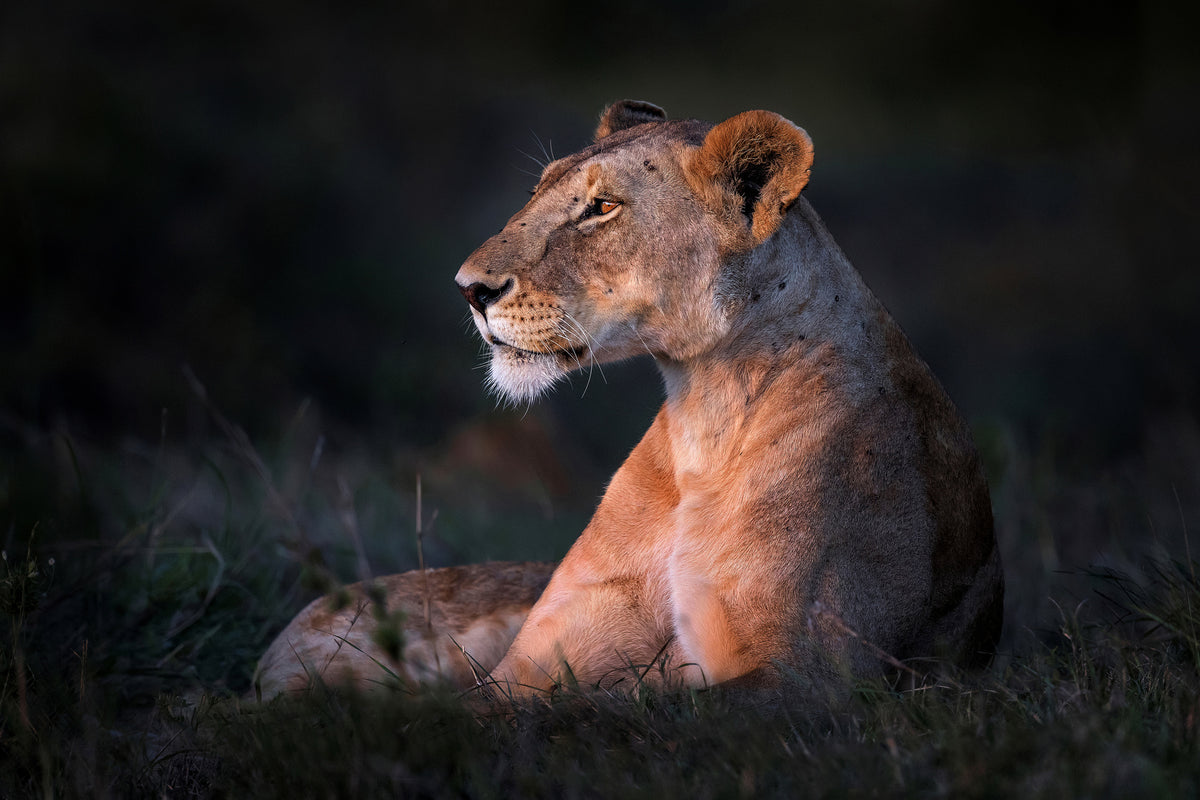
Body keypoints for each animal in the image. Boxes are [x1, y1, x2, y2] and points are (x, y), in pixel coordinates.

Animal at [255, 100, 1003, 701]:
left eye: (602, 208)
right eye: (537, 192)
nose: (469, 289)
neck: (705, 417)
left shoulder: (813, 677)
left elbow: (619, 712)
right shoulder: (530, 662)